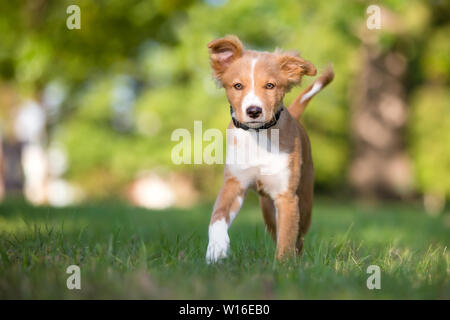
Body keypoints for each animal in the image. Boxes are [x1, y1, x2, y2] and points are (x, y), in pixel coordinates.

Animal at [206, 35, 332, 262]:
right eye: (238, 85)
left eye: (270, 85)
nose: (254, 110)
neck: (258, 137)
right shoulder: (234, 183)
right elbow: (217, 216)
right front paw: (217, 250)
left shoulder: (286, 196)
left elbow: (287, 237)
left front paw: (283, 266)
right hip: (266, 208)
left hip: (305, 200)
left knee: (299, 237)